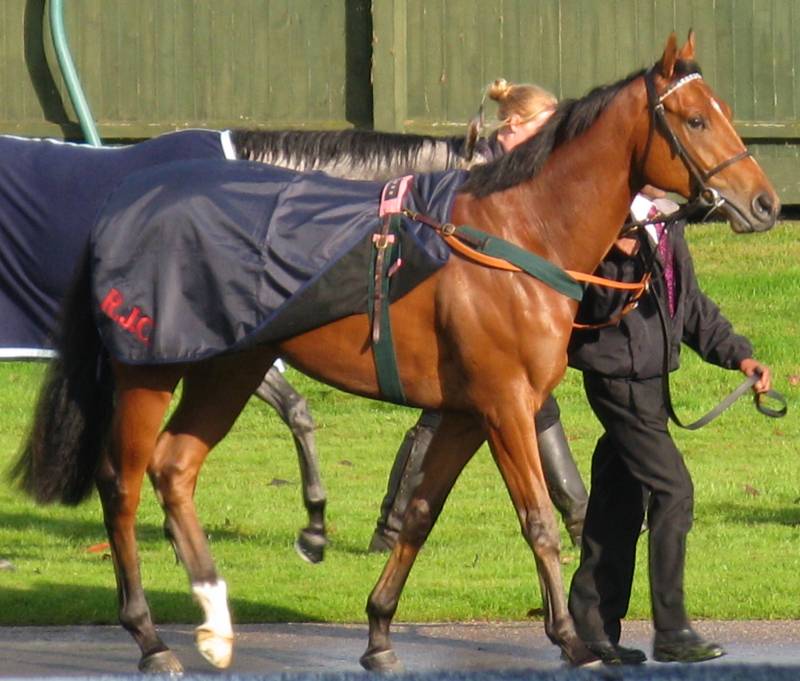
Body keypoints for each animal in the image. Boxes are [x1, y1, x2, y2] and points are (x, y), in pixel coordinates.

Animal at [11, 31, 778, 674]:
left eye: (724, 110)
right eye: (697, 120)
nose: (766, 203)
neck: (516, 233)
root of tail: (125, 200)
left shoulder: (467, 412)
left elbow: (420, 513)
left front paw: (379, 630)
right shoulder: (505, 405)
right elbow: (537, 522)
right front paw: (571, 638)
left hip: (230, 365)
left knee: (175, 468)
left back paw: (217, 621)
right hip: (150, 369)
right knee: (123, 483)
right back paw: (150, 637)